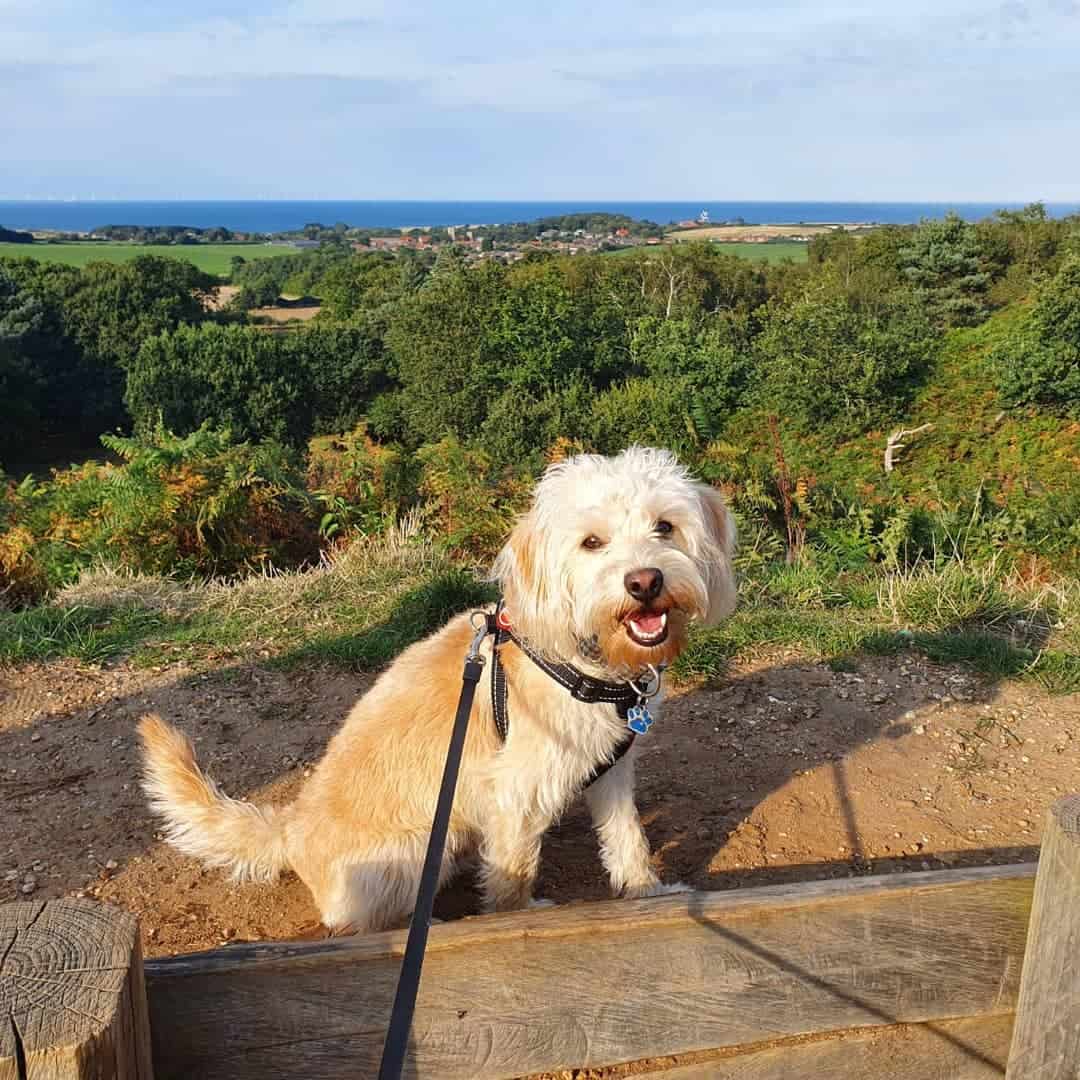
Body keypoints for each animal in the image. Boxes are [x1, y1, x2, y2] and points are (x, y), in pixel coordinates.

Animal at [137, 447, 734, 937]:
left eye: (665, 526)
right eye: (592, 542)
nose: (645, 581)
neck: (582, 655)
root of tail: (291, 829)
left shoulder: (610, 767)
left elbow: (627, 836)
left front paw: (647, 894)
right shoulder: (516, 791)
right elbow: (514, 873)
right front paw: (515, 918)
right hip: (419, 846)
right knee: (358, 921)